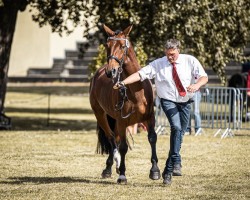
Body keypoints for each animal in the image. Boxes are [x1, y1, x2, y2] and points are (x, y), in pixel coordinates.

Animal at [90, 24, 160, 184]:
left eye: (122, 46)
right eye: (107, 45)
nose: (111, 71)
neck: (136, 90)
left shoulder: (149, 118)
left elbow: (152, 138)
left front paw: (155, 171)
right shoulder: (122, 122)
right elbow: (122, 147)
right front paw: (122, 174)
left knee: (114, 138)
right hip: (100, 115)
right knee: (111, 138)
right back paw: (111, 166)